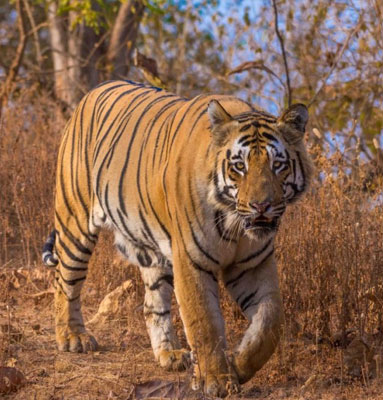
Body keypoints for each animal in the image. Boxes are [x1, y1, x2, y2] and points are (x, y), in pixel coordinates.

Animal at [42, 80, 312, 396]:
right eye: (239, 166)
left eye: (277, 165)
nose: (261, 206)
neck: (234, 222)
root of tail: (93, 90)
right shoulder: (191, 261)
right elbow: (204, 322)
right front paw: (217, 380)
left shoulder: (253, 265)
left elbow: (270, 323)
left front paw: (238, 366)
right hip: (75, 221)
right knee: (65, 281)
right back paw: (73, 337)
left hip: (154, 252)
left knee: (152, 305)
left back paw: (169, 354)